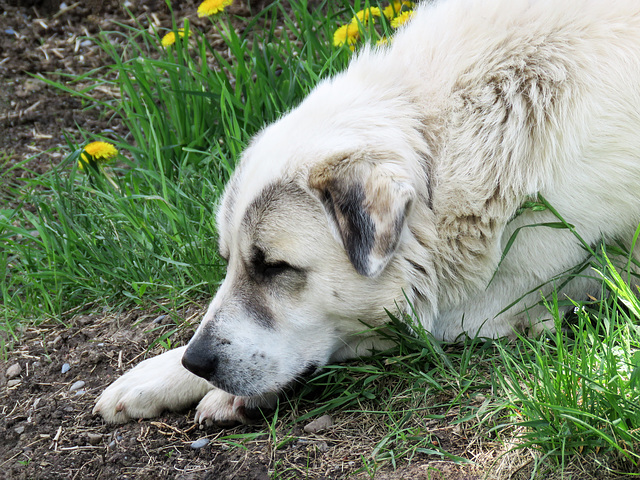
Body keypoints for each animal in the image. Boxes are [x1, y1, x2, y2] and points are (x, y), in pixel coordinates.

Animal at [92, 0, 640, 426]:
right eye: (229, 262)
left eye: (274, 267)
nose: (198, 362)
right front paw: (157, 376)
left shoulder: (516, 290)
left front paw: (226, 395)